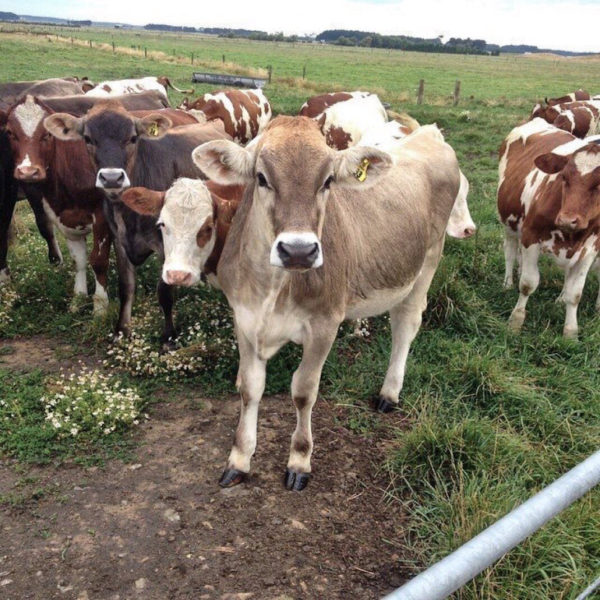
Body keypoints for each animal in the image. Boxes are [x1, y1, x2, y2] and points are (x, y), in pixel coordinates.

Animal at [190, 115, 462, 490]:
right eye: (261, 178)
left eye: (328, 180)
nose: (298, 250)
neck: (273, 289)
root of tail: (427, 134)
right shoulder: (243, 318)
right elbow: (249, 388)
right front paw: (240, 458)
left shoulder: (324, 323)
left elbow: (304, 391)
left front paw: (299, 460)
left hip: (428, 262)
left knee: (405, 324)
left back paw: (389, 393)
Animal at [496, 117, 600, 338]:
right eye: (564, 177)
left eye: (599, 185)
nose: (568, 220)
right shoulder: (531, 236)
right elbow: (528, 283)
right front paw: (516, 321)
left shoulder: (590, 248)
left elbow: (575, 293)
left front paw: (570, 332)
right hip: (510, 223)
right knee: (510, 251)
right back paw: (508, 283)